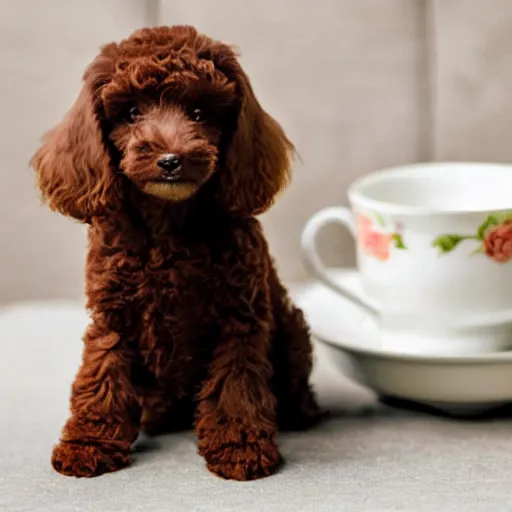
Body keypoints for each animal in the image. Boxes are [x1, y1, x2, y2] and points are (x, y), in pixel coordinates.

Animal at [30, 24, 322, 480]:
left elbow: (236, 383)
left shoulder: (239, 318)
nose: (171, 159)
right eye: (132, 113)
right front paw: (89, 442)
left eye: (200, 113)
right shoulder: (113, 315)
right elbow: (101, 371)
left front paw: (238, 446)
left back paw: (299, 412)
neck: (168, 227)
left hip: (291, 328)